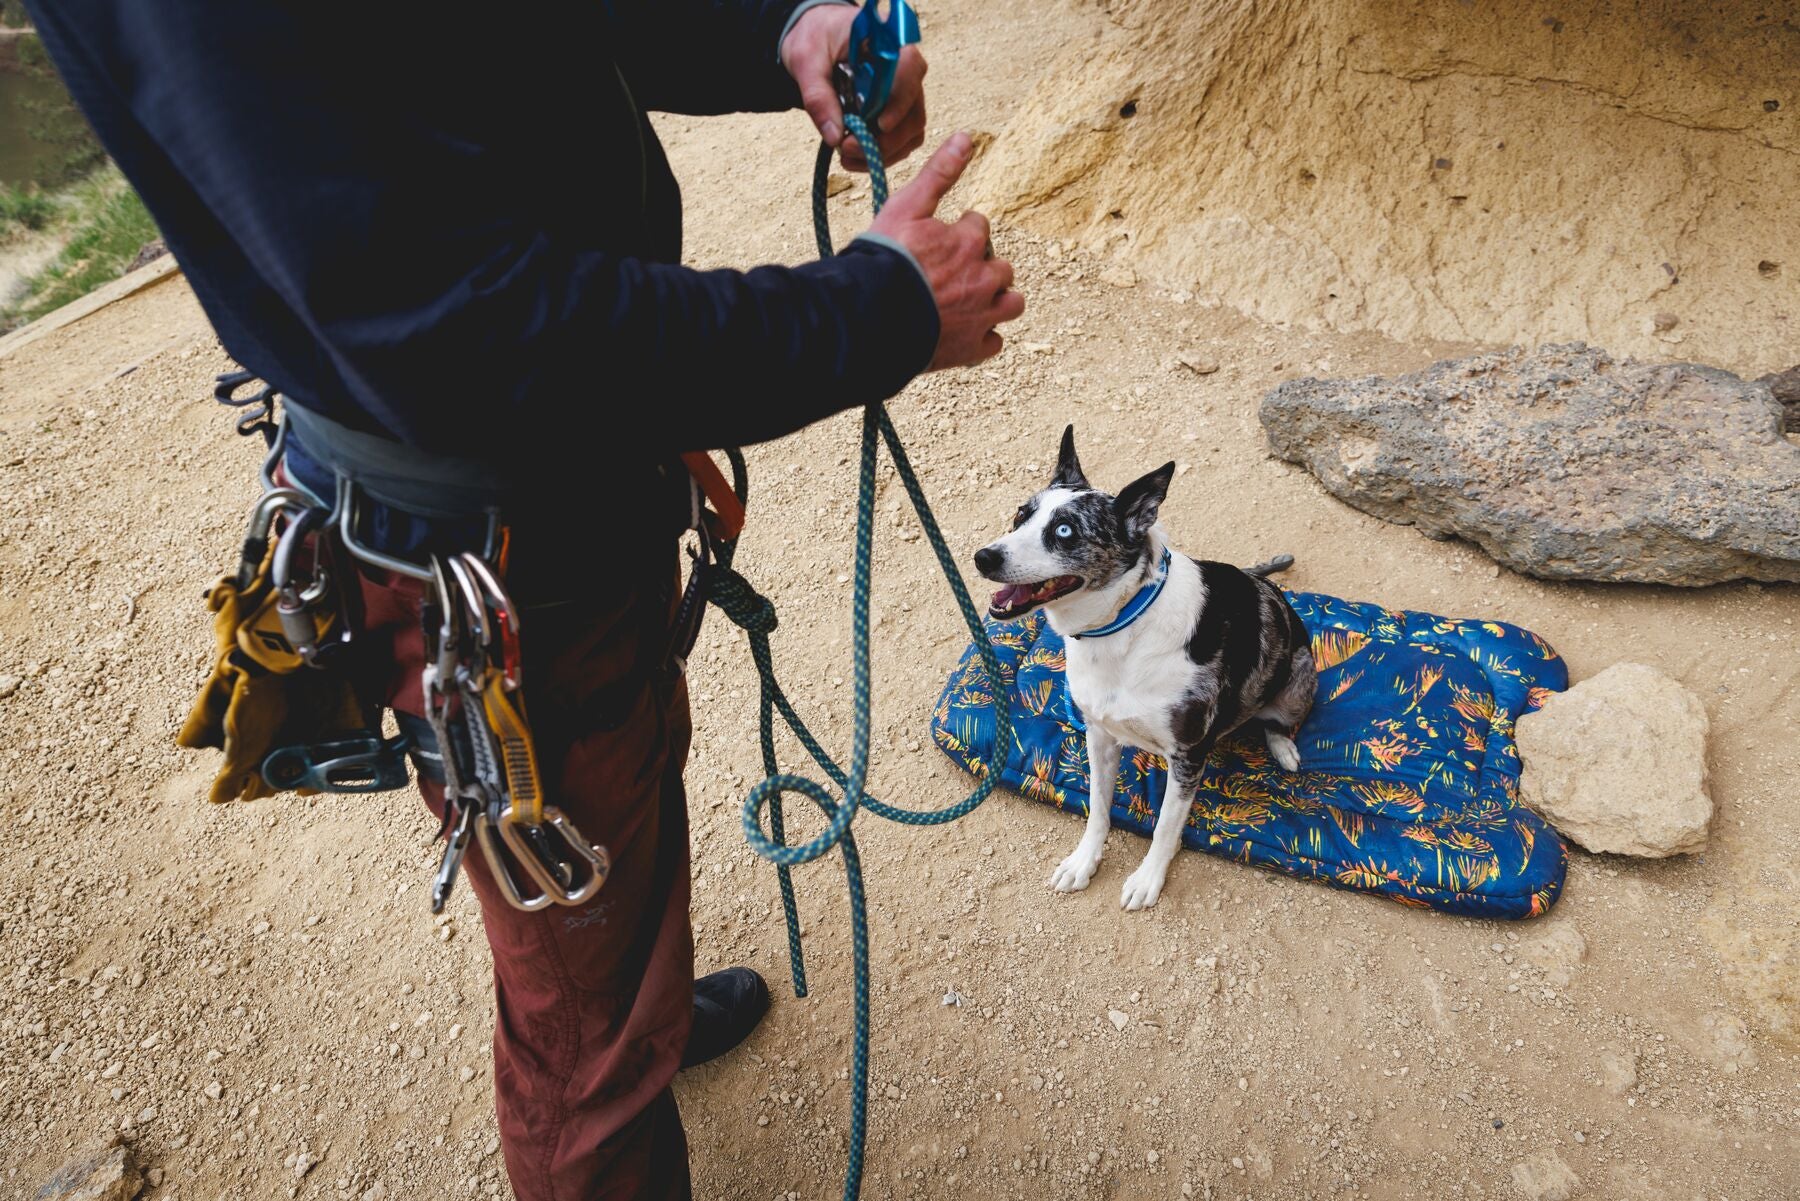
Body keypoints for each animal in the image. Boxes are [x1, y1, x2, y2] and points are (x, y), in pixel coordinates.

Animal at [979, 426, 1317, 907]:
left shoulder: (1188, 755)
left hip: (1297, 679)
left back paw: (1283, 747)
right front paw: (1084, 861)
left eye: (1064, 531)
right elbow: (1099, 808)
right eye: (1019, 515)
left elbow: (1164, 828)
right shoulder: (1099, 735)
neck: (1121, 624)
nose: (983, 557)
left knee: (1278, 721)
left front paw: (1147, 879)